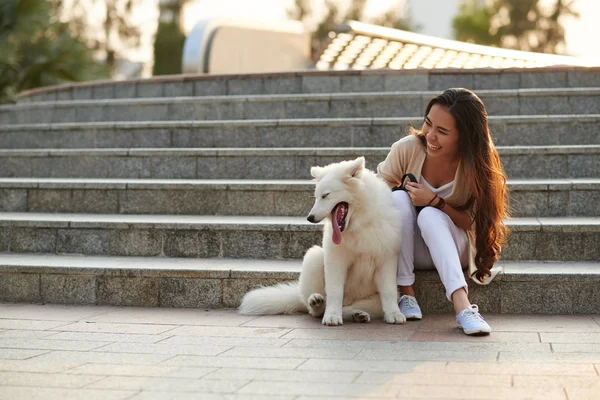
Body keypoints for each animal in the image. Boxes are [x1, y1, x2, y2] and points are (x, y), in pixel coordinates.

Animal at [237, 156, 406, 324]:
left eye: (325, 195)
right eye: (317, 197)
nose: (309, 218)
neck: (361, 223)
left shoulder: (387, 259)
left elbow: (389, 291)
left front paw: (394, 314)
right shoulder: (335, 259)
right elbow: (334, 290)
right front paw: (332, 316)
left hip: (371, 300)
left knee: (350, 307)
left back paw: (358, 314)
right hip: (315, 257)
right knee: (314, 308)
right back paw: (317, 303)